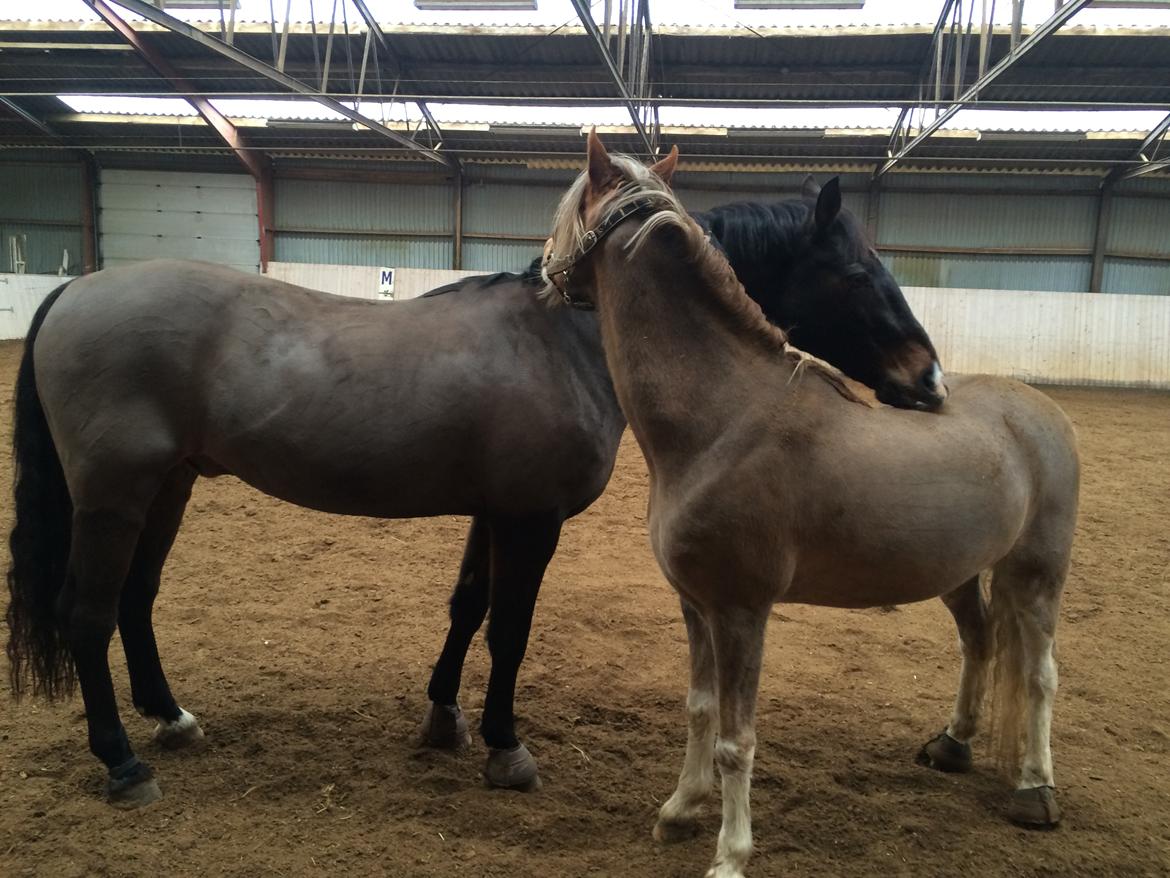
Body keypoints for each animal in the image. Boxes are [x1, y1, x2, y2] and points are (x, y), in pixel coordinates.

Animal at [5, 172, 942, 812]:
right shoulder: (530, 519)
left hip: (167, 488)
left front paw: (442, 719)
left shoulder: (491, 512)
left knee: (136, 599)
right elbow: (510, 629)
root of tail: (78, 288)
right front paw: (503, 746)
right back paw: (123, 761)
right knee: (88, 613)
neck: (567, 341)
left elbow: (465, 608)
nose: (929, 381)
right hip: (114, 496)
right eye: (858, 275)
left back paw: (171, 718)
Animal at [541, 132, 1078, 878]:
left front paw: (730, 854)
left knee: (1039, 673)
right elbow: (700, 708)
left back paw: (1036, 789)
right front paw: (679, 811)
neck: (723, 417)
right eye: (854, 273)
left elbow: (737, 737)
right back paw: (952, 744)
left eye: (568, 216)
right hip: (963, 573)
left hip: (1037, 574)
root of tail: (1040, 409)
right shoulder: (695, 604)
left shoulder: (741, 610)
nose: (541, 269)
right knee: (979, 640)